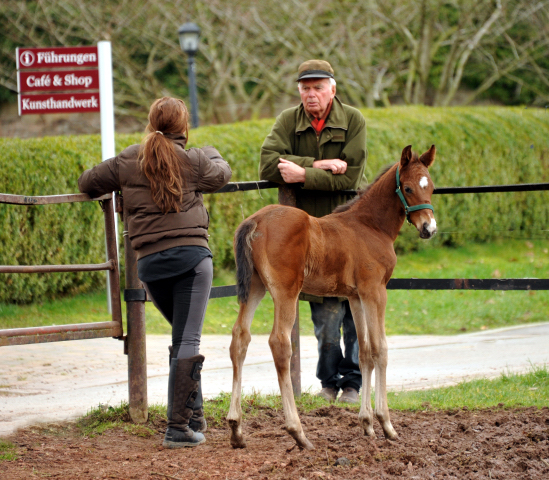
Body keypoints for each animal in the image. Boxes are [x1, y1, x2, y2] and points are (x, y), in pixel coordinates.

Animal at [227, 143, 436, 450]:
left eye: (430, 187)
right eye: (407, 188)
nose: (429, 229)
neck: (370, 226)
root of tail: (255, 220)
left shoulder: (356, 296)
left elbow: (364, 352)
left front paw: (367, 424)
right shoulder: (376, 291)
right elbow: (381, 349)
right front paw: (386, 424)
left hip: (254, 286)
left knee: (240, 338)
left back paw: (236, 428)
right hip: (285, 290)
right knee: (280, 343)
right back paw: (298, 432)